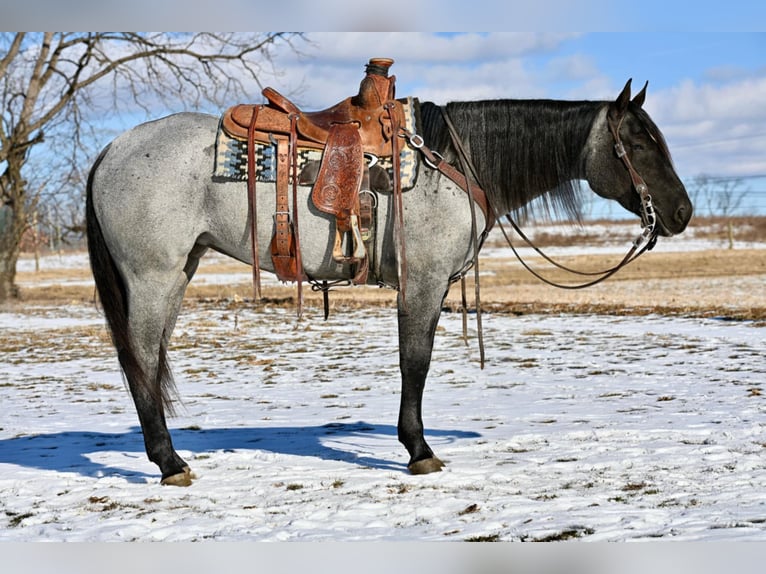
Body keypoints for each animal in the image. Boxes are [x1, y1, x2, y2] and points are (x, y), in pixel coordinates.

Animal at [87, 80, 692, 486]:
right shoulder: (422, 283)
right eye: (638, 145)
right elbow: (415, 361)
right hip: (153, 277)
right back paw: (169, 462)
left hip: (178, 272)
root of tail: (112, 149)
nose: (683, 212)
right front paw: (419, 449)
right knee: (140, 359)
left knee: (149, 359)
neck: (454, 163)